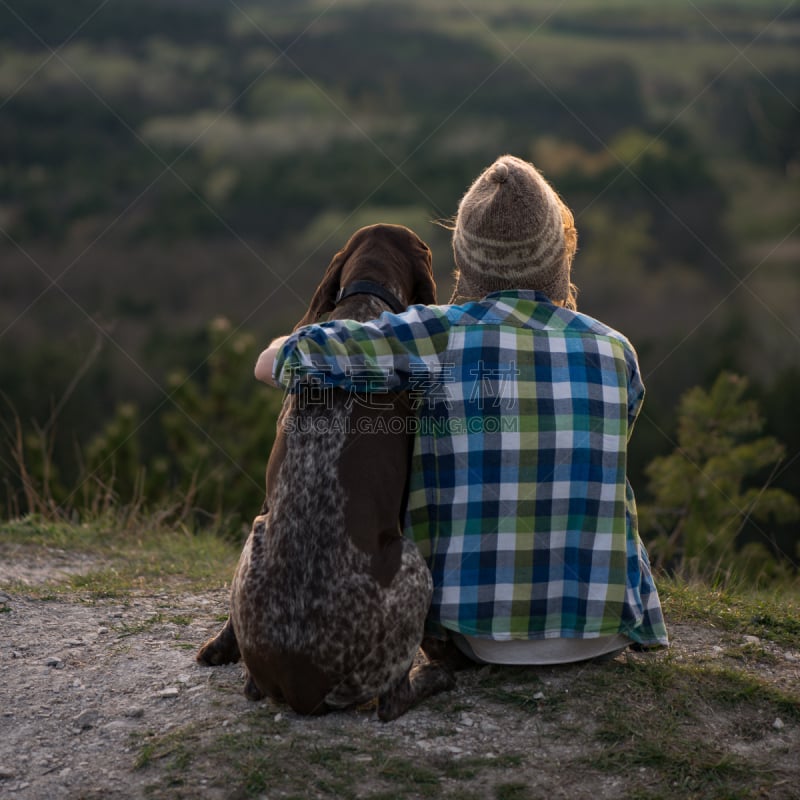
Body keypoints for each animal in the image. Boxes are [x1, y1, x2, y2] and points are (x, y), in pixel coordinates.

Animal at [199, 223, 456, 720]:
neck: (366, 298)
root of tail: (303, 683)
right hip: (413, 567)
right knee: (391, 701)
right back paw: (436, 676)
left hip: (257, 533)